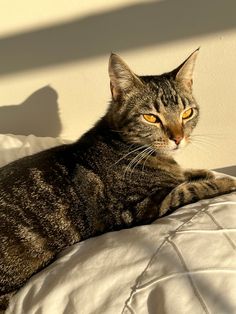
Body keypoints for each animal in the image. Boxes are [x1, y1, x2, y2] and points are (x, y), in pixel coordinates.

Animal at [0, 49, 236, 312]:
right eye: (151, 118)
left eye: (187, 113)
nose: (178, 138)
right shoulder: (138, 210)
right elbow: (186, 190)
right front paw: (225, 182)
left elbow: (183, 175)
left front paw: (201, 171)